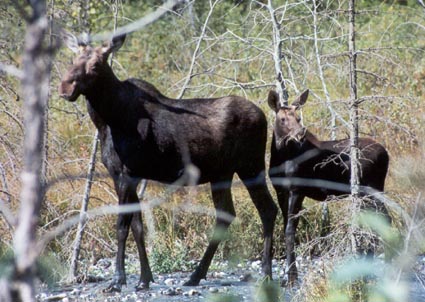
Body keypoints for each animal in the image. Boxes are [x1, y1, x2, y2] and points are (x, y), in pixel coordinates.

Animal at [58, 33, 278, 292]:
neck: (106, 120)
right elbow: (137, 226)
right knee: (226, 214)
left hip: (251, 166)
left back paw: (266, 274)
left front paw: (118, 279)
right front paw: (144, 278)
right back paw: (196, 275)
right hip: (222, 174)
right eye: (73, 59)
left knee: (267, 209)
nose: (65, 87)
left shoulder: (127, 173)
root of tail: (265, 116)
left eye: (95, 65)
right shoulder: (120, 174)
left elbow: (122, 226)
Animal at [266, 89, 390, 286]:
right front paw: (289, 275)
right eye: (283, 119)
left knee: (385, 219)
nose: (300, 134)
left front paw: (292, 276)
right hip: (365, 194)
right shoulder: (280, 191)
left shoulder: (297, 190)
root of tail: (387, 154)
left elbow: (290, 230)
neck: (281, 158)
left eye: (298, 118)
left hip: (373, 189)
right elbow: (286, 226)